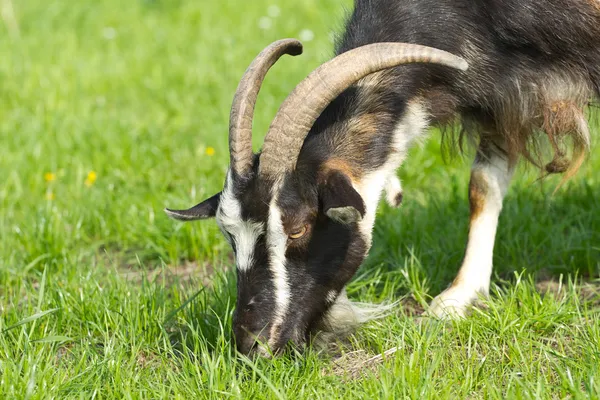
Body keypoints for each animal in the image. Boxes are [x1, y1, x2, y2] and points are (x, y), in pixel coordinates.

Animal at [164, 0, 600, 356]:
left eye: (298, 228)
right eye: (229, 234)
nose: (251, 344)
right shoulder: (502, 95)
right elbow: (482, 186)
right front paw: (457, 299)